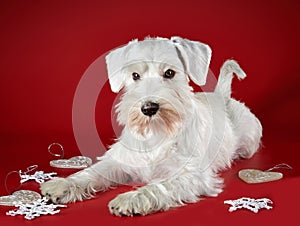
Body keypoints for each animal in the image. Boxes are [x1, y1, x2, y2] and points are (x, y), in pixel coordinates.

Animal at [41, 36, 262, 216]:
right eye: (135, 75)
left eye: (170, 73)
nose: (148, 108)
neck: (156, 132)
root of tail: (222, 96)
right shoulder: (120, 161)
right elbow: (93, 172)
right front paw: (63, 184)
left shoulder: (191, 175)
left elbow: (158, 186)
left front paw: (131, 199)